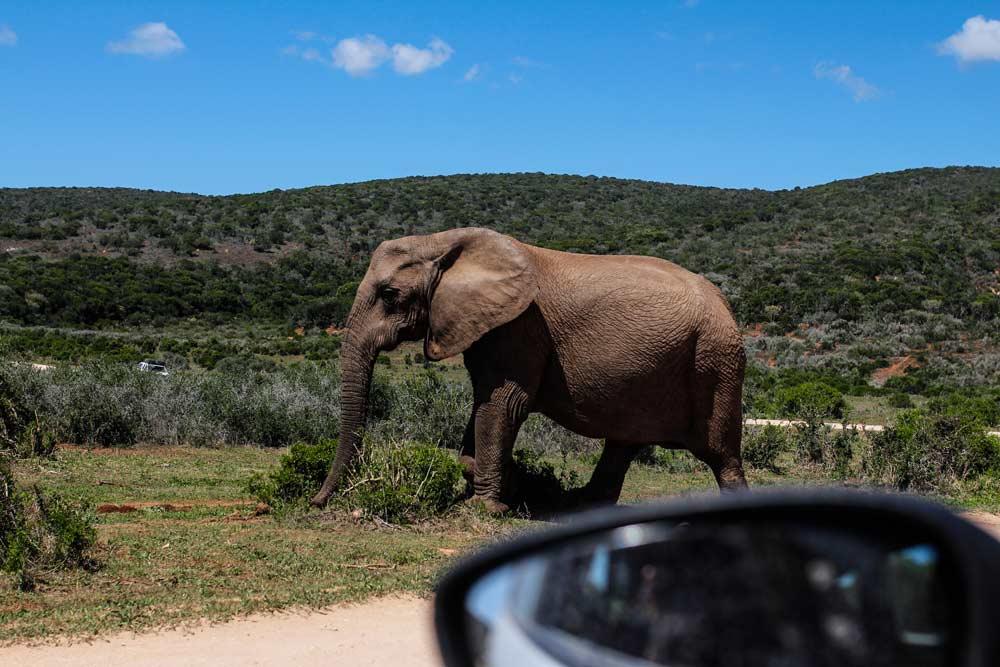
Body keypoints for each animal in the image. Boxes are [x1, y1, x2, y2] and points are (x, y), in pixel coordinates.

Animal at [310, 227, 748, 512]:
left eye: (389, 295)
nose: (317, 502)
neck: (443, 242)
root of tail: (724, 302)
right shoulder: (489, 326)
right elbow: (484, 402)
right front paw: (498, 482)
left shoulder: (519, 325)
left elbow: (503, 403)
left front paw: (489, 506)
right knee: (623, 443)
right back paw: (578, 503)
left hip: (714, 362)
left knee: (721, 456)